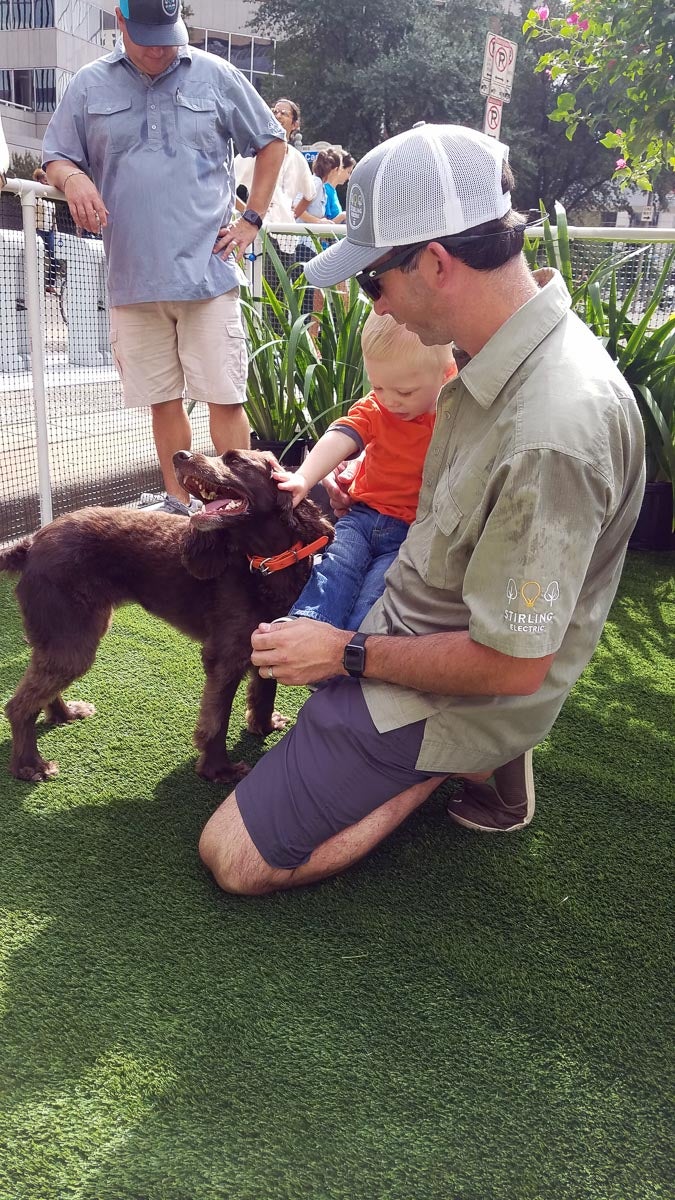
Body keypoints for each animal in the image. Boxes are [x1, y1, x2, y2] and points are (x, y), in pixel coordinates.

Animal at [0, 453, 331, 782]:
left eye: (235, 461)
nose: (180, 456)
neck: (266, 564)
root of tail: (31, 543)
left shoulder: (268, 639)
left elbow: (265, 690)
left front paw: (263, 726)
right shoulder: (225, 657)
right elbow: (216, 720)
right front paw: (218, 769)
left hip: (65, 636)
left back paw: (64, 715)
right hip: (72, 640)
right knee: (18, 705)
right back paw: (30, 765)